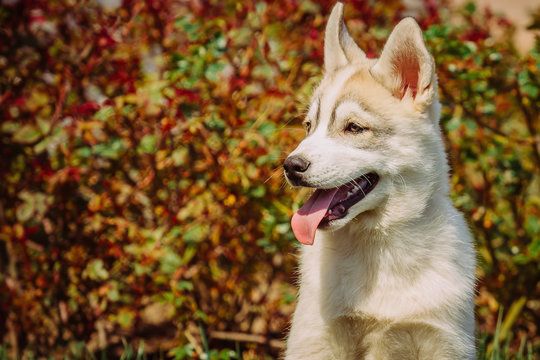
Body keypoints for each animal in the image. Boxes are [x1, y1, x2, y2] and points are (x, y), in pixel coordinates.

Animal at [284, 3, 474, 360]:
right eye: (309, 126)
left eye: (354, 128)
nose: (290, 166)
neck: (377, 246)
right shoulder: (318, 339)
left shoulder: (441, 340)